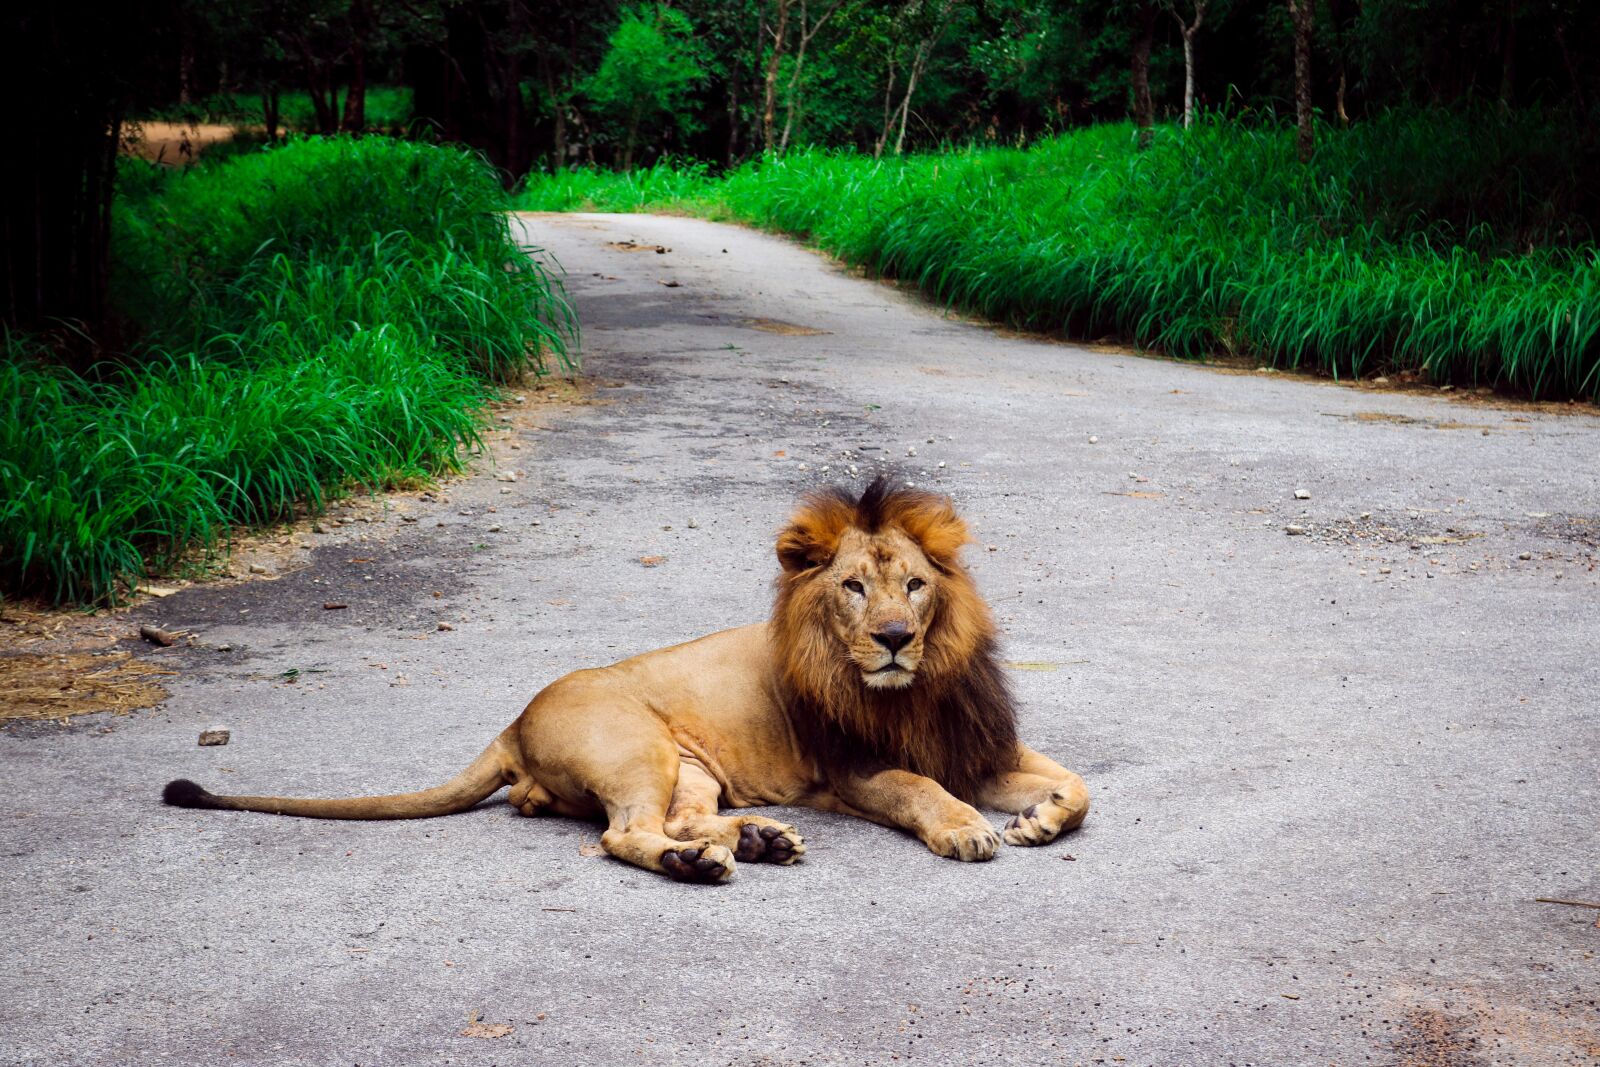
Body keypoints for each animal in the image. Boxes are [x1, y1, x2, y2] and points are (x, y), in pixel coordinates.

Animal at [163, 477, 1090, 882]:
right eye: (854, 587)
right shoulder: (853, 770)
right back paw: (704, 862)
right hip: (640, 745)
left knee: (674, 819)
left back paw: (757, 838)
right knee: (623, 833)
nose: (895, 639)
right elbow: (920, 789)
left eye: (917, 586)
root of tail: (512, 720)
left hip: (692, 768)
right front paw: (968, 827)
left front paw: (1040, 816)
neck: (916, 686)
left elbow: (1079, 785)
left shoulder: (976, 743)